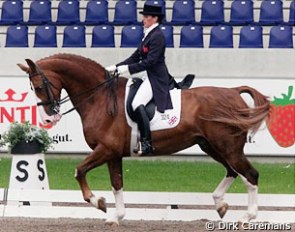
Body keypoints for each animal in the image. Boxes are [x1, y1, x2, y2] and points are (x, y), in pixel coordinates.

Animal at [17, 54, 272, 225]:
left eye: (39, 86)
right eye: (33, 88)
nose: (48, 119)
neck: (99, 97)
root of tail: (233, 92)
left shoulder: (105, 149)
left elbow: (79, 171)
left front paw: (97, 202)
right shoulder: (112, 154)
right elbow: (117, 184)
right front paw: (116, 216)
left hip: (228, 147)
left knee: (250, 175)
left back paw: (247, 217)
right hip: (210, 145)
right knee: (232, 171)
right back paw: (220, 204)